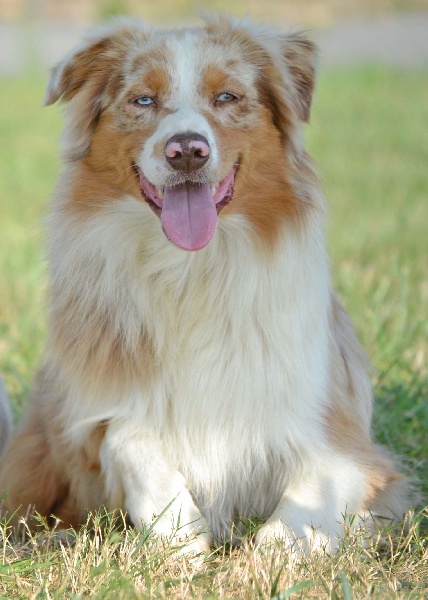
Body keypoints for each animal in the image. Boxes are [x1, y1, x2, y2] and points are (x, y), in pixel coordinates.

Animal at [0, 16, 410, 556]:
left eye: (228, 97)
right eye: (143, 100)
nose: (187, 151)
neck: (192, 271)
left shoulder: (349, 447)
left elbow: (300, 513)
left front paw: (267, 555)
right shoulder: (97, 413)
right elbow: (130, 439)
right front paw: (180, 535)